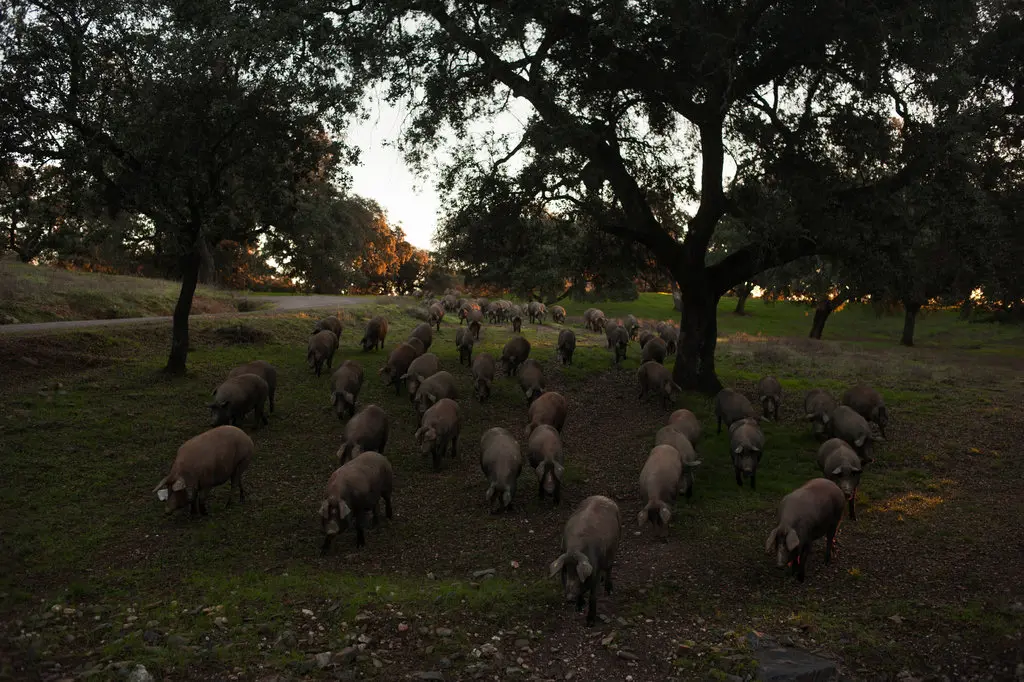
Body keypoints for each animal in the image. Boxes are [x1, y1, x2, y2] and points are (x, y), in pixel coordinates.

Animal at [548, 491, 618, 622]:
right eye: (565, 571)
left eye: (577, 572)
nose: (569, 597)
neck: (575, 549)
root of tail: (602, 496)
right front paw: (579, 608)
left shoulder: (595, 572)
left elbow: (593, 596)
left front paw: (590, 622)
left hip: (614, 548)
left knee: (609, 568)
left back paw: (609, 591)